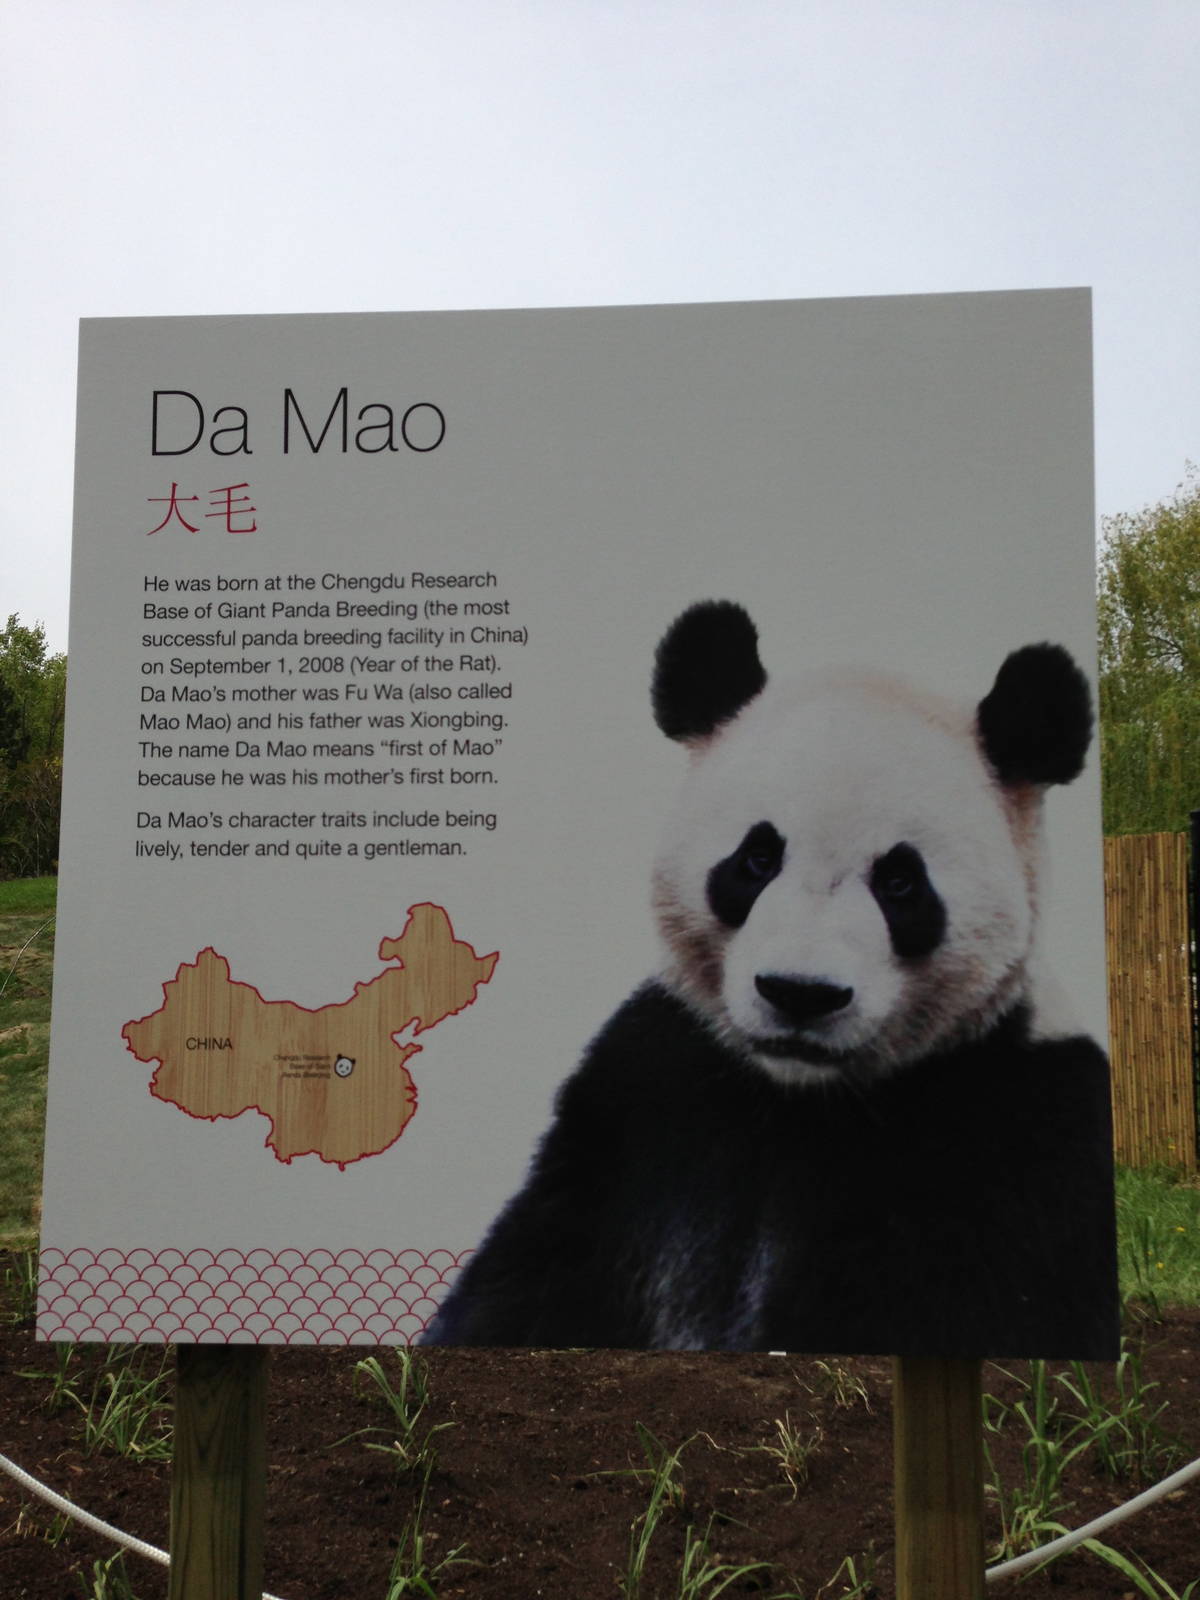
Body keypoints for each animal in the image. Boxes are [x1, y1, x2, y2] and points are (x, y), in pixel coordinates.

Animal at [423, 601, 1118, 1359]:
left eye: (901, 883)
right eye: (757, 859)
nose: (800, 993)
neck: (798, 1099)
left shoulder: (1012, 1140)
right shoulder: (646, 1099)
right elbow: (531, 1277)